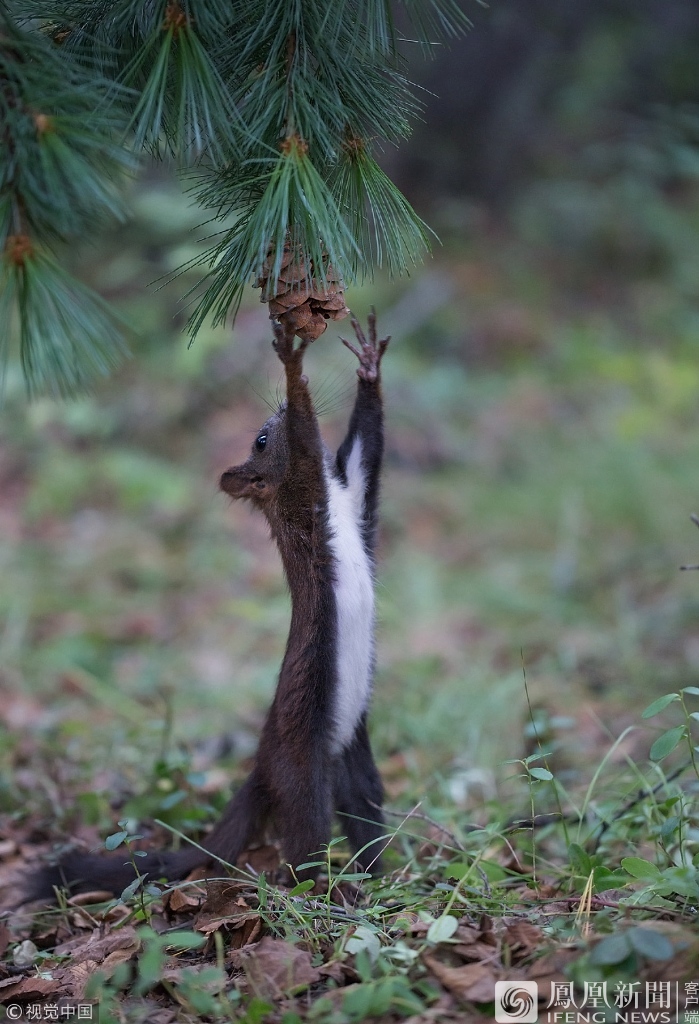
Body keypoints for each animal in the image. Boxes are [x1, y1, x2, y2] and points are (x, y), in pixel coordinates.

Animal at [30, 309, 390, 897]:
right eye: (263, 439)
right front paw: (292, 362)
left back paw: (384, 881)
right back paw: (328, 892)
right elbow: (308, 434)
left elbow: (367, 448)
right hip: (303, 769)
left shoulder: (354, 496)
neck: (325, 504)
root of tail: (263, 767)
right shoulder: (306, 489)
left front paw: (368, 367)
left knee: (364, 810)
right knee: (305, 841)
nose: (273, 412)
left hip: (354, 761)